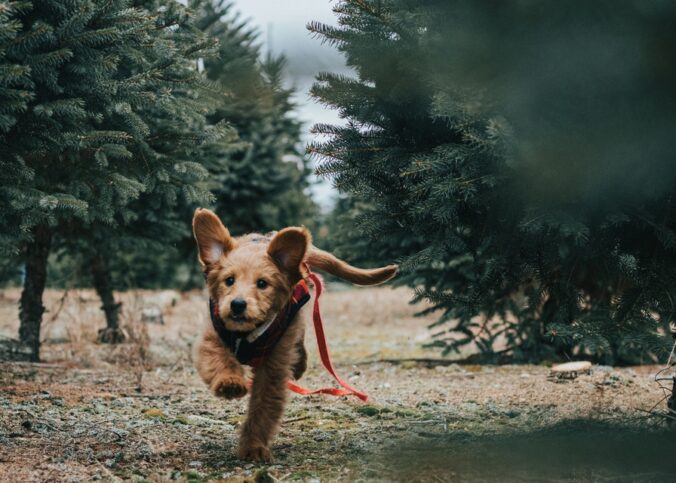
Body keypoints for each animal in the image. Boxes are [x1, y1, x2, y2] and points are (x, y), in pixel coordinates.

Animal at [191, 209, 396, 466]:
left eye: (262, 284)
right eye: (229, 280)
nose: (237, 305)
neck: (247, 333)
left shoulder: (274, 366)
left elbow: (263, 408)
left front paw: (253, 447)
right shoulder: (212, 336)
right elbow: (219, 360)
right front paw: (230, 383)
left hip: (294, 322)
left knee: (300, 340)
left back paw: (299, 365)